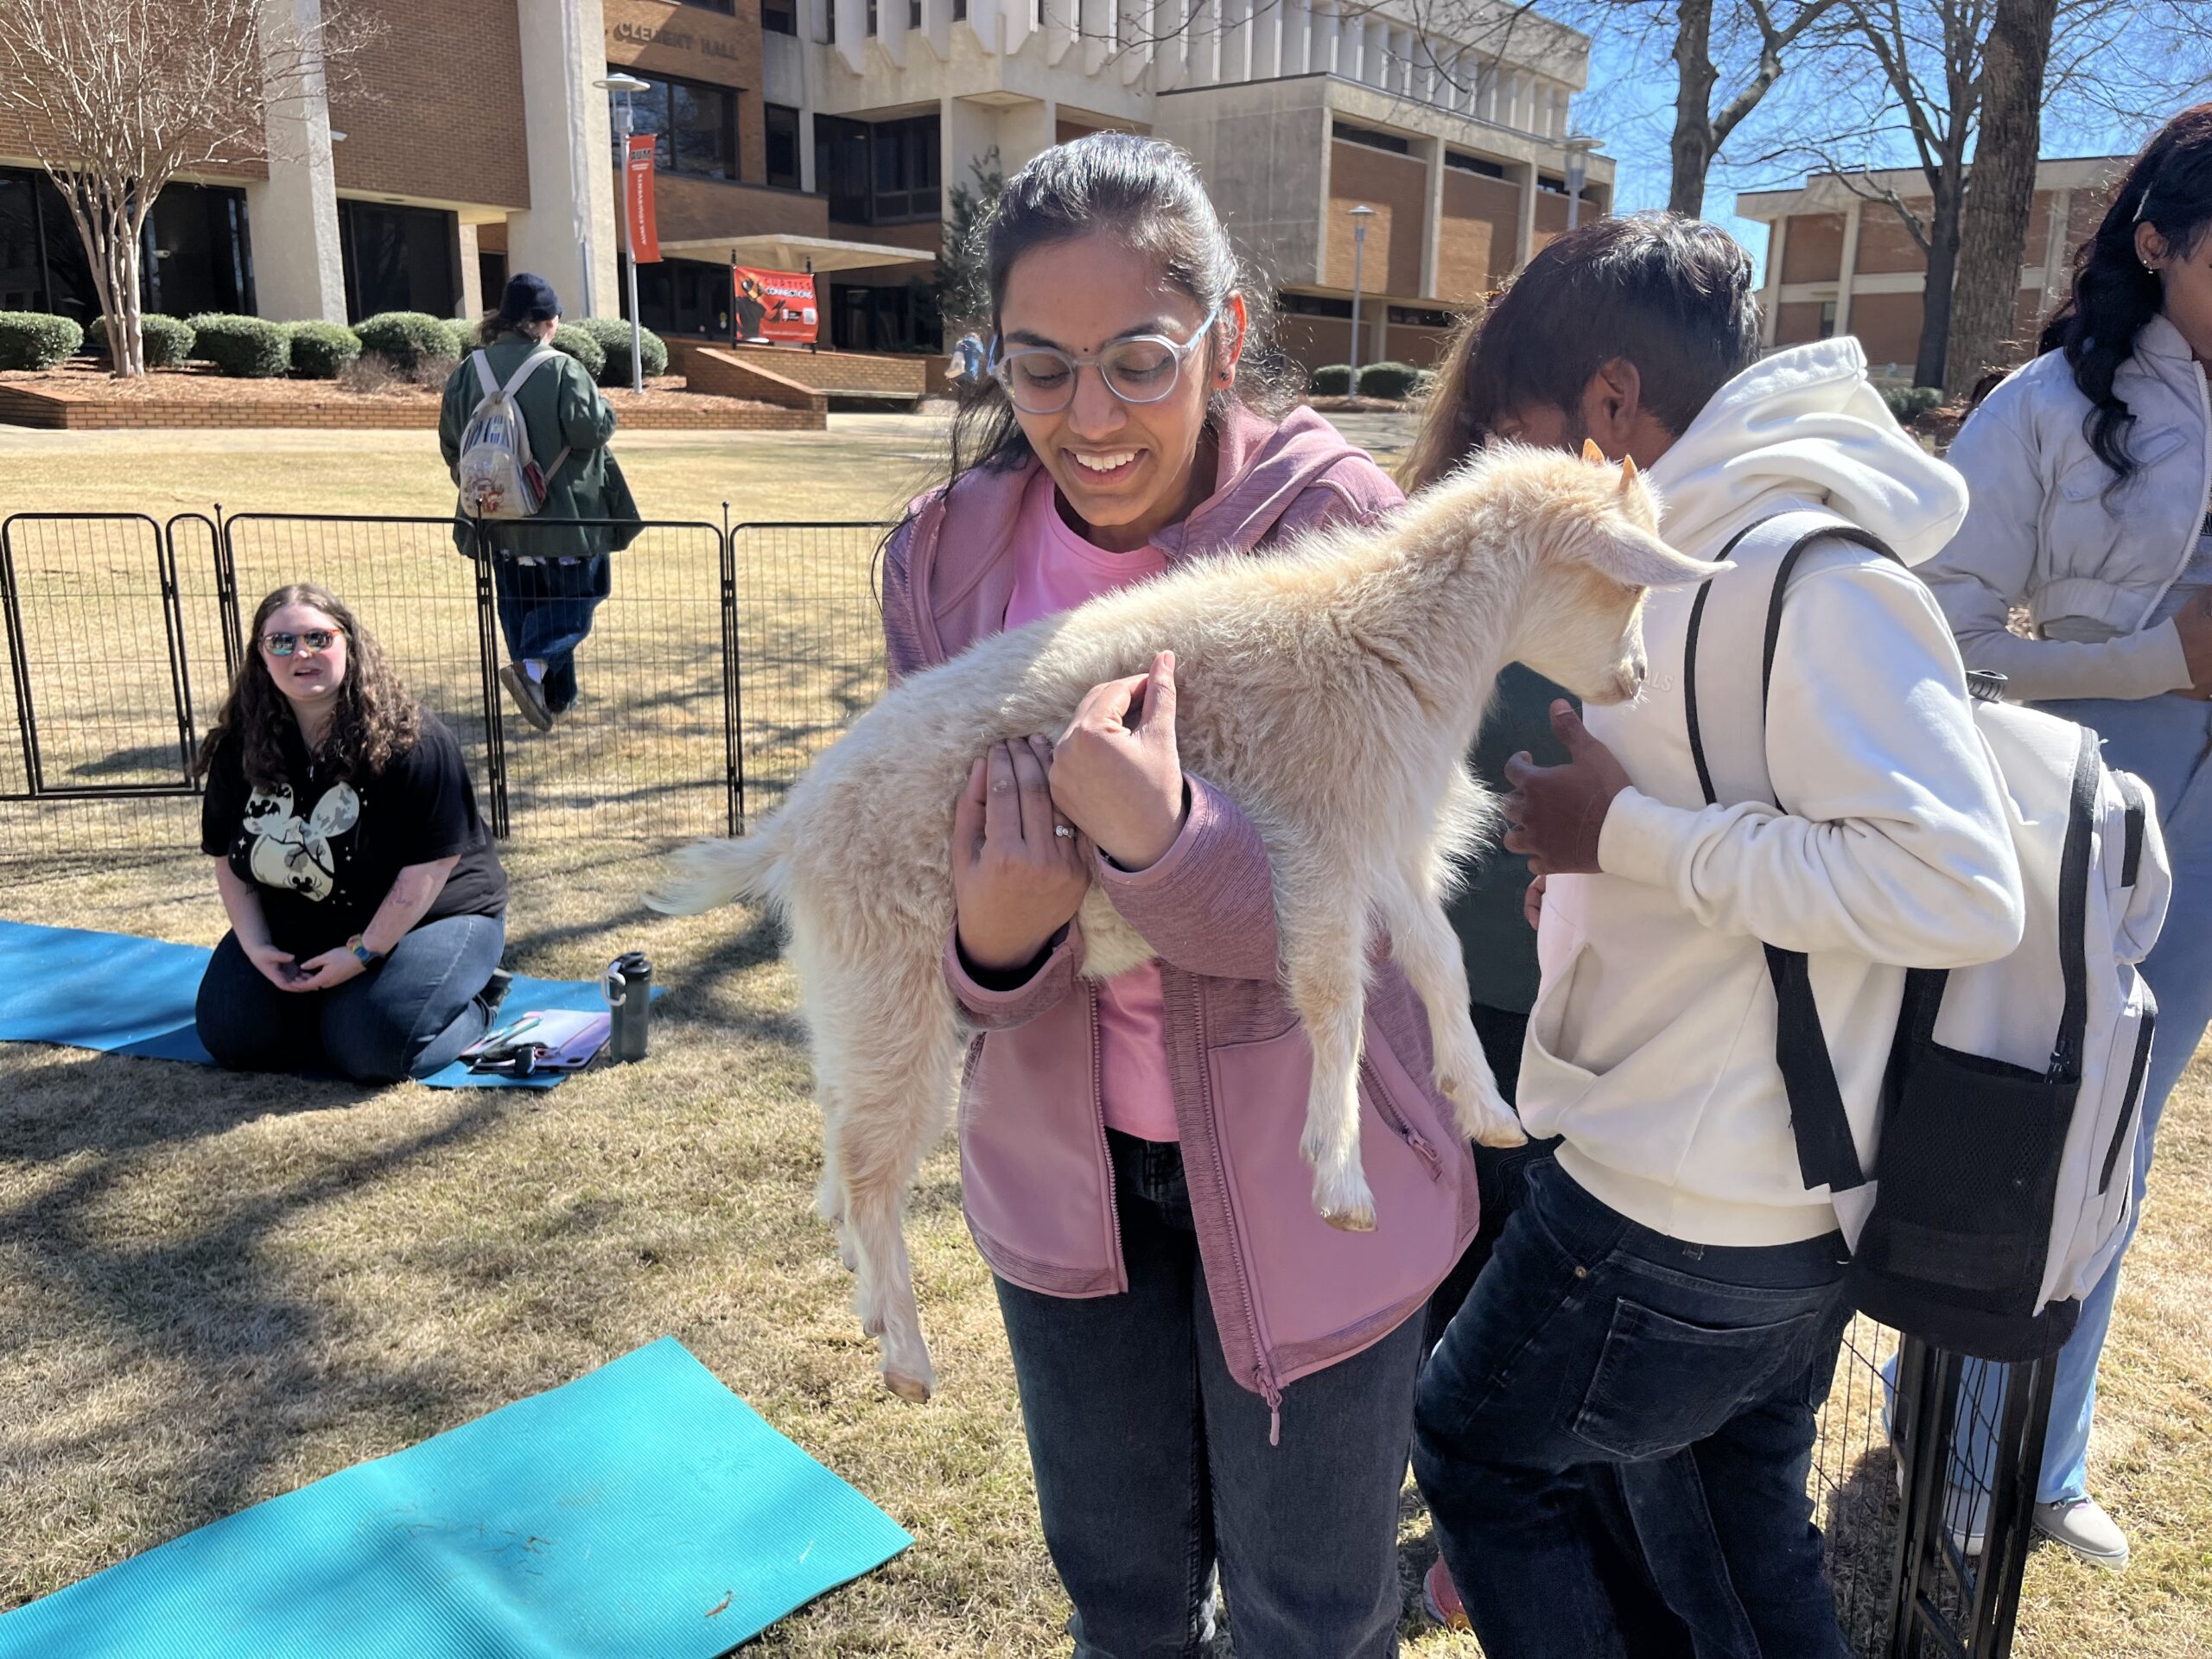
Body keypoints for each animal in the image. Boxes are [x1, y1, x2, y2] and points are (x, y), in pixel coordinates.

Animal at [645, 442, 1716, 1407]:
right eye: (1625, 588)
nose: (1637, 679)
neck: (1390, 640)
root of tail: (787, 831)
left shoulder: (1381, 841)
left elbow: (1437, 962)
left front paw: (1485, 1108)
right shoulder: (1315, 839)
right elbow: (1332, 996)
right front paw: (1340, 1179)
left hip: (845, 981)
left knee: (839, 1128)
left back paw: (867, 1300)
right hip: (886, 966)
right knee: (873, 1159)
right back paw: (906, 1357)